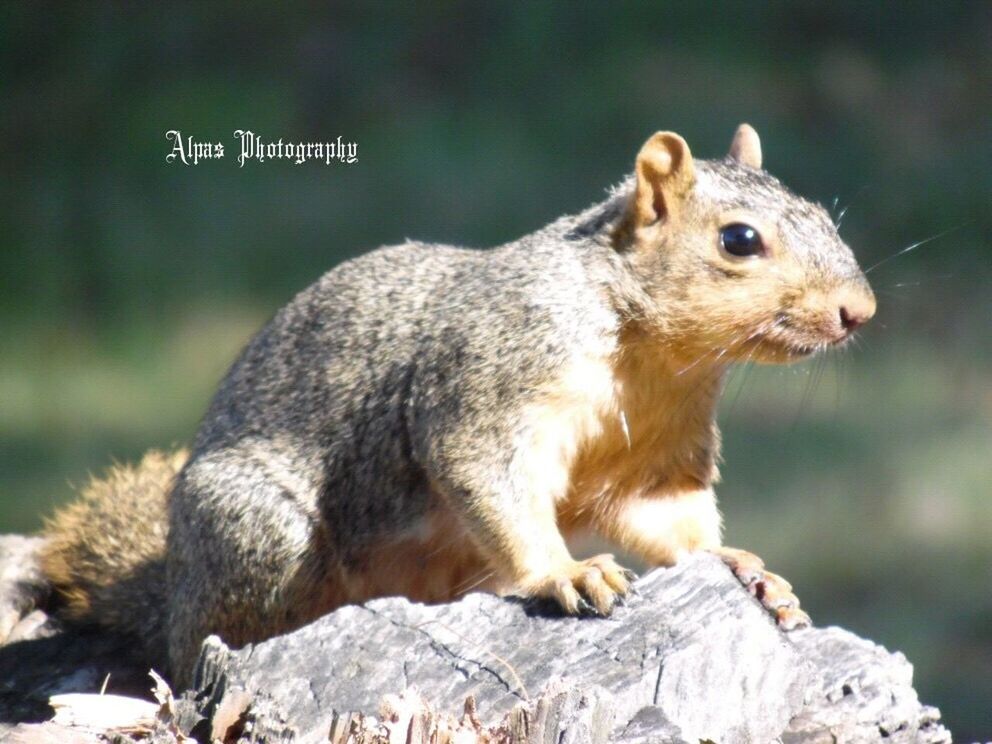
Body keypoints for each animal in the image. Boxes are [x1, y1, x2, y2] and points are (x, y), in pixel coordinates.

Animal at [38, 125, 876, 688]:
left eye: (825, 216)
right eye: (739, 240)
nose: (859, 311)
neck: (654, 359)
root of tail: (170, 593)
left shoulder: (655, 457)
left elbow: (671, 523)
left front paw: (742, 567)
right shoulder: (487, 382)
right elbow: (490, 478)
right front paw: (564, 574)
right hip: (260, 536)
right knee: (202, 645)